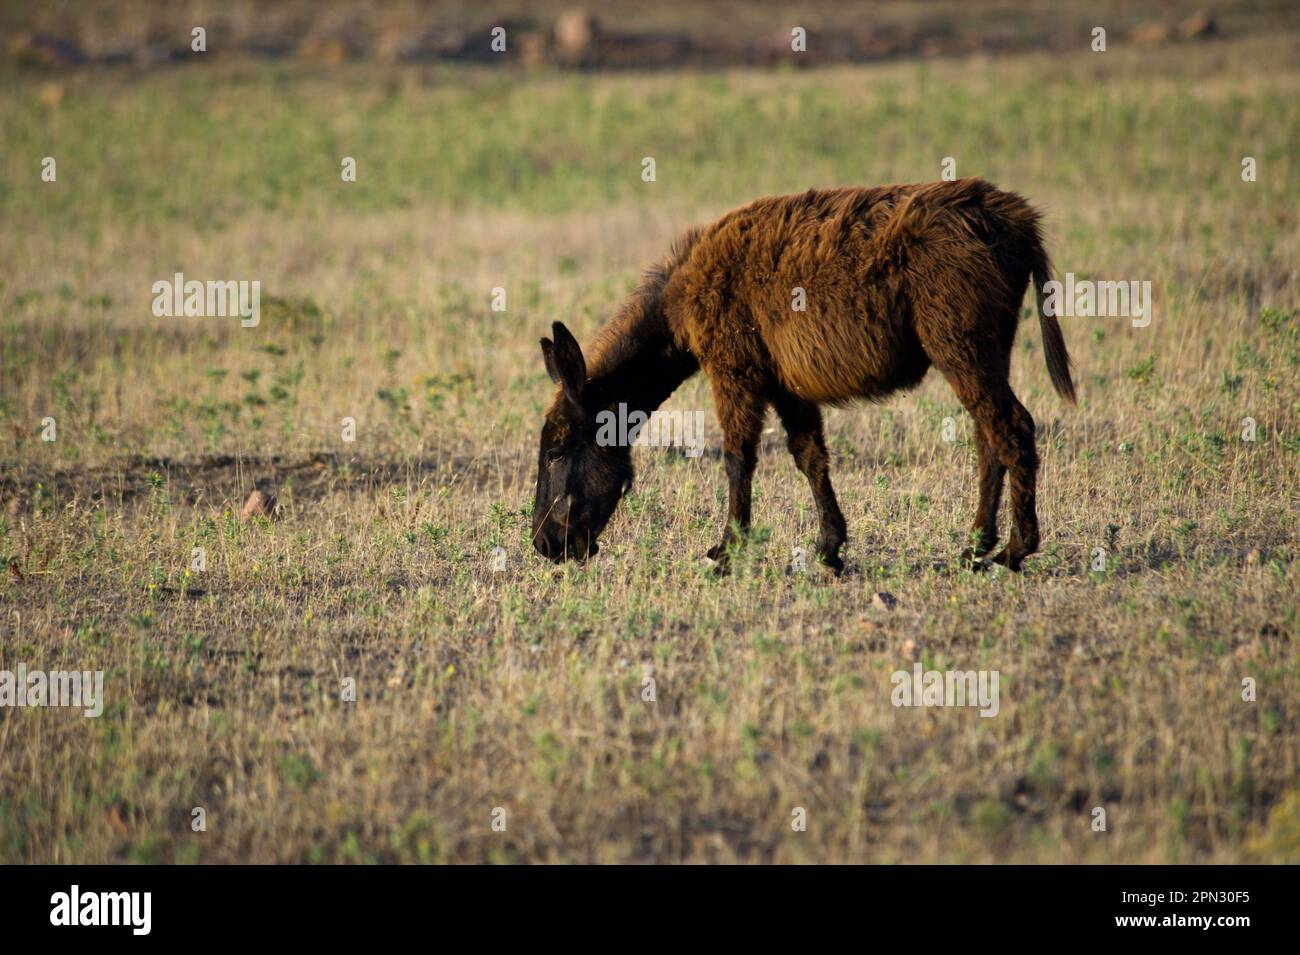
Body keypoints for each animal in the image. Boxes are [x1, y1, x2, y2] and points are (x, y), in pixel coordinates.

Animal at [527, 176, 1076, 571]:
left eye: (555, 451)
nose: (545, 546)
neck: (679, 303)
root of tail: (1017, 218)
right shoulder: (786, 385)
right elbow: (810, 457)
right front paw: (830, 547)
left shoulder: (734, 370)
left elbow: (738, 458)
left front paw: (727, 551)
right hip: (984, 350)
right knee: (990, 438)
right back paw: (976, 547)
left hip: (960, 347)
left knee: (1011, 428)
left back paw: (1015, 550)